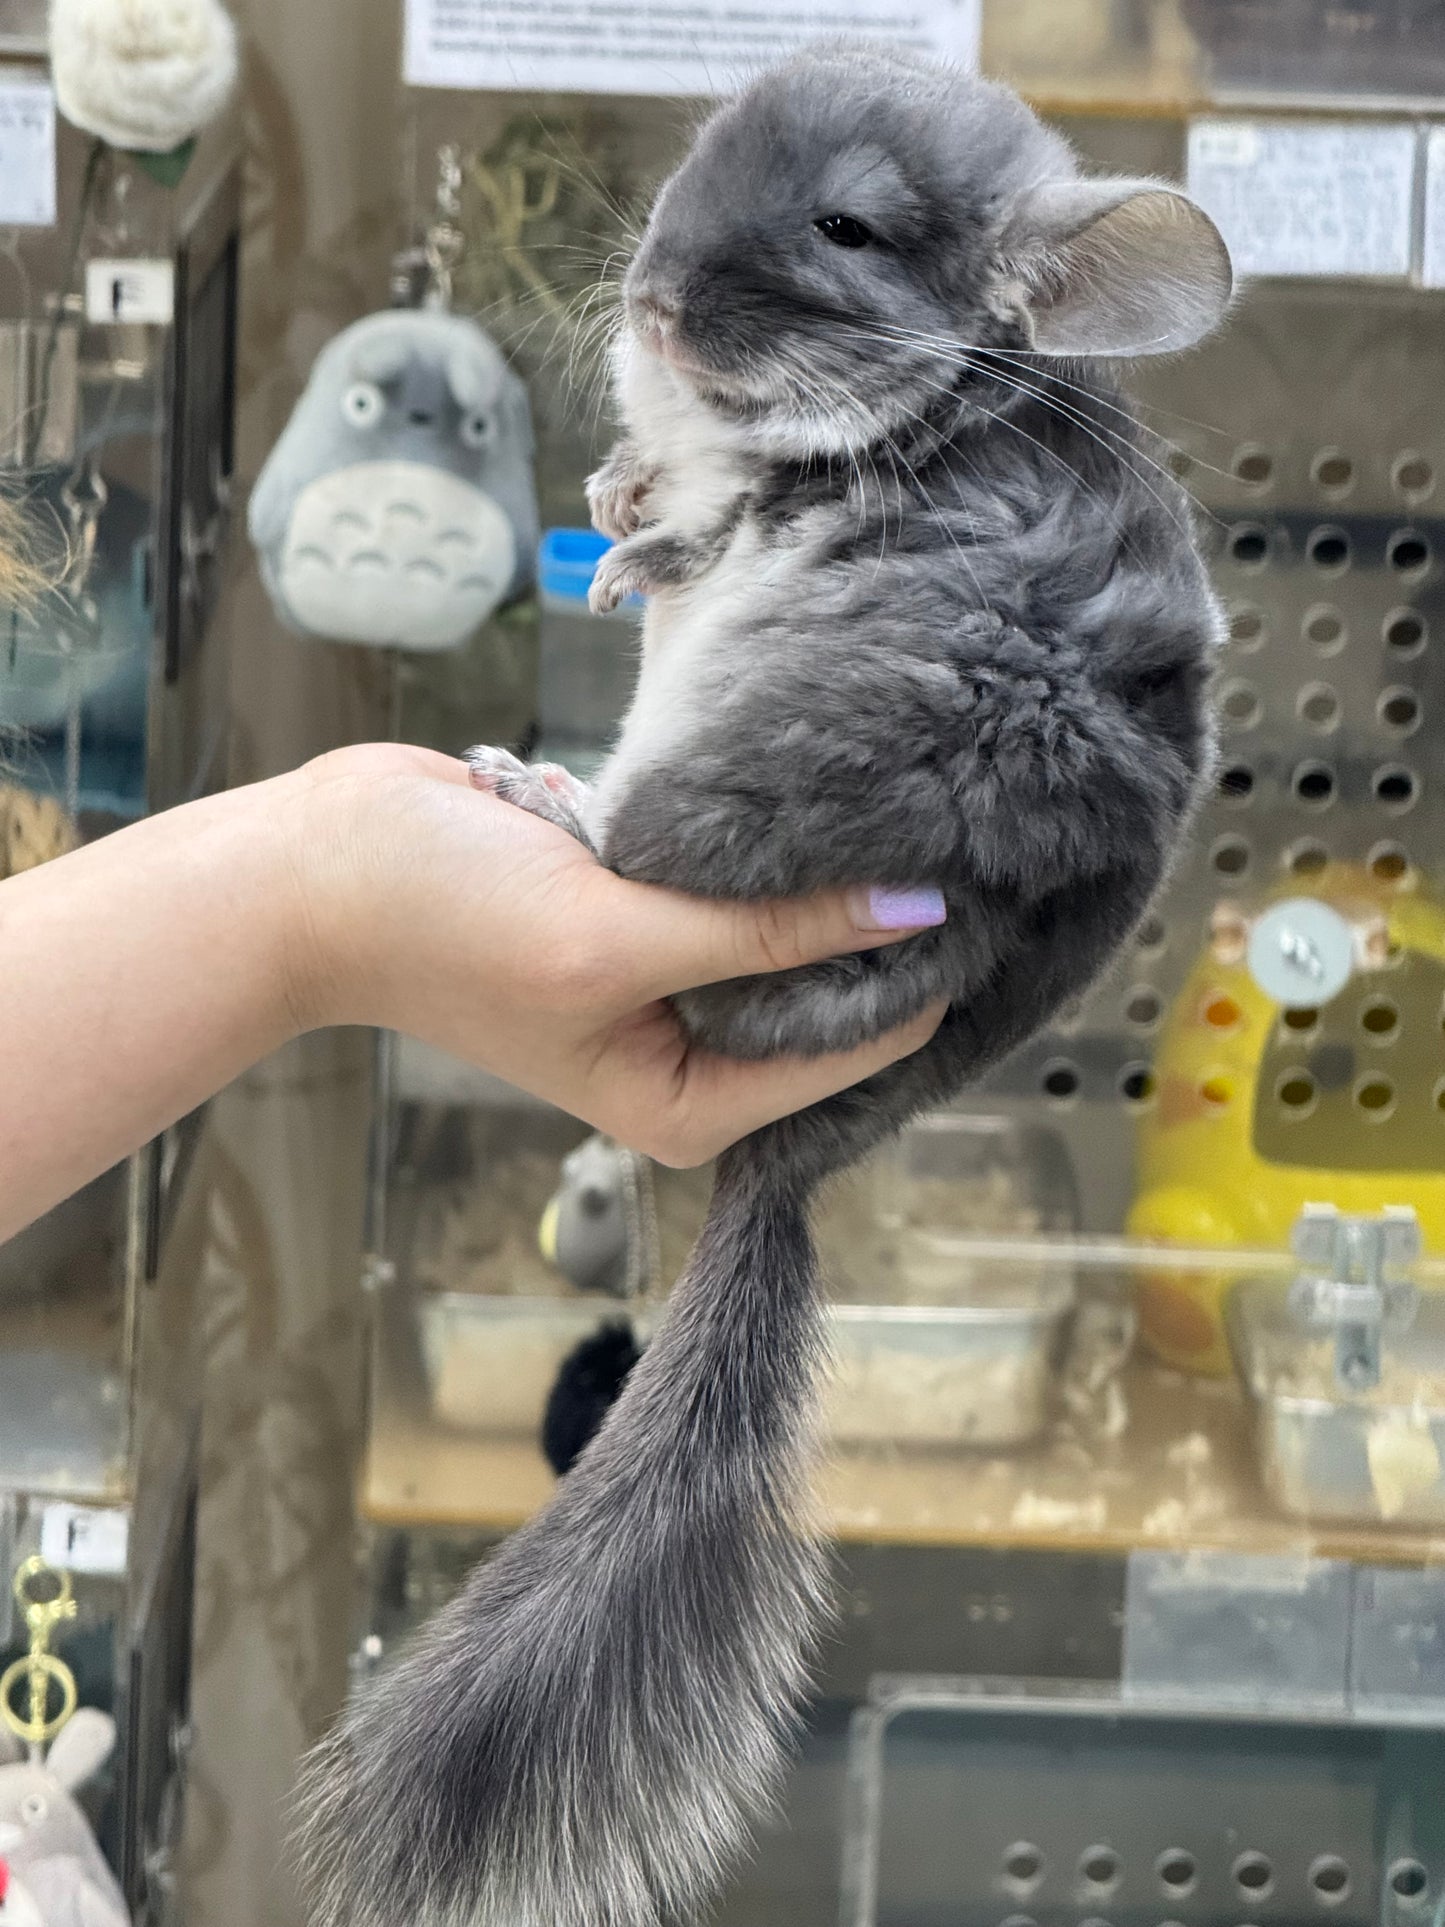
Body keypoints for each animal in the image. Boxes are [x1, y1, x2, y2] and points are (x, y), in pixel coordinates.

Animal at [296, 37, 1233, 1927]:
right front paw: (607, 497)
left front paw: (635, 541)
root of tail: (788, 1154)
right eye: (696, 164)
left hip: (763, 756)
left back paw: (533, 788)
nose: (654, 302)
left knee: (634, 852)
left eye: (849, 229)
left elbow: (711, 527)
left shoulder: (777, 510)